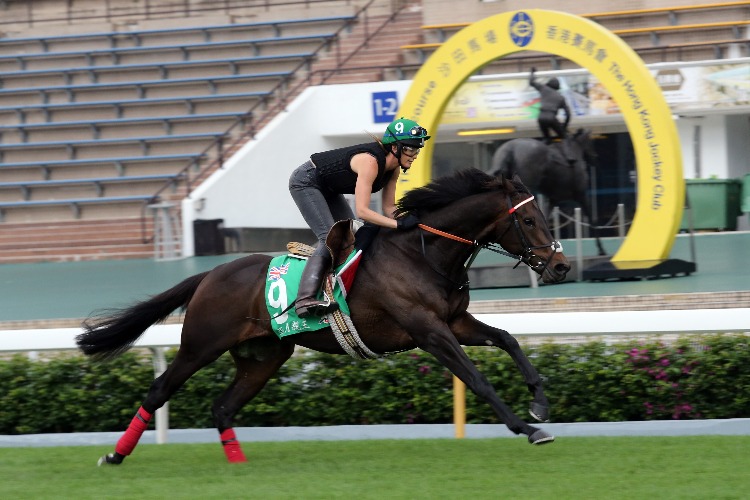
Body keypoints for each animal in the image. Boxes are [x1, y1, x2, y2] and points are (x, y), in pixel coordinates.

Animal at [76, 168, 568, 464]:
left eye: (544, 215)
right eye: (529, 221)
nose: (560, 266)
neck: (424, 254)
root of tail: (211, 274)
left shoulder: (455, 324)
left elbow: (508, 339)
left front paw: (540, 404)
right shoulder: (428, 331)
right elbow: (477, 379)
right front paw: (528, 429)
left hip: (264, 357)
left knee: (223, 406)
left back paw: (238, 464)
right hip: (201, 344)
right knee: (160, 389)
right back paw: (115, 455)